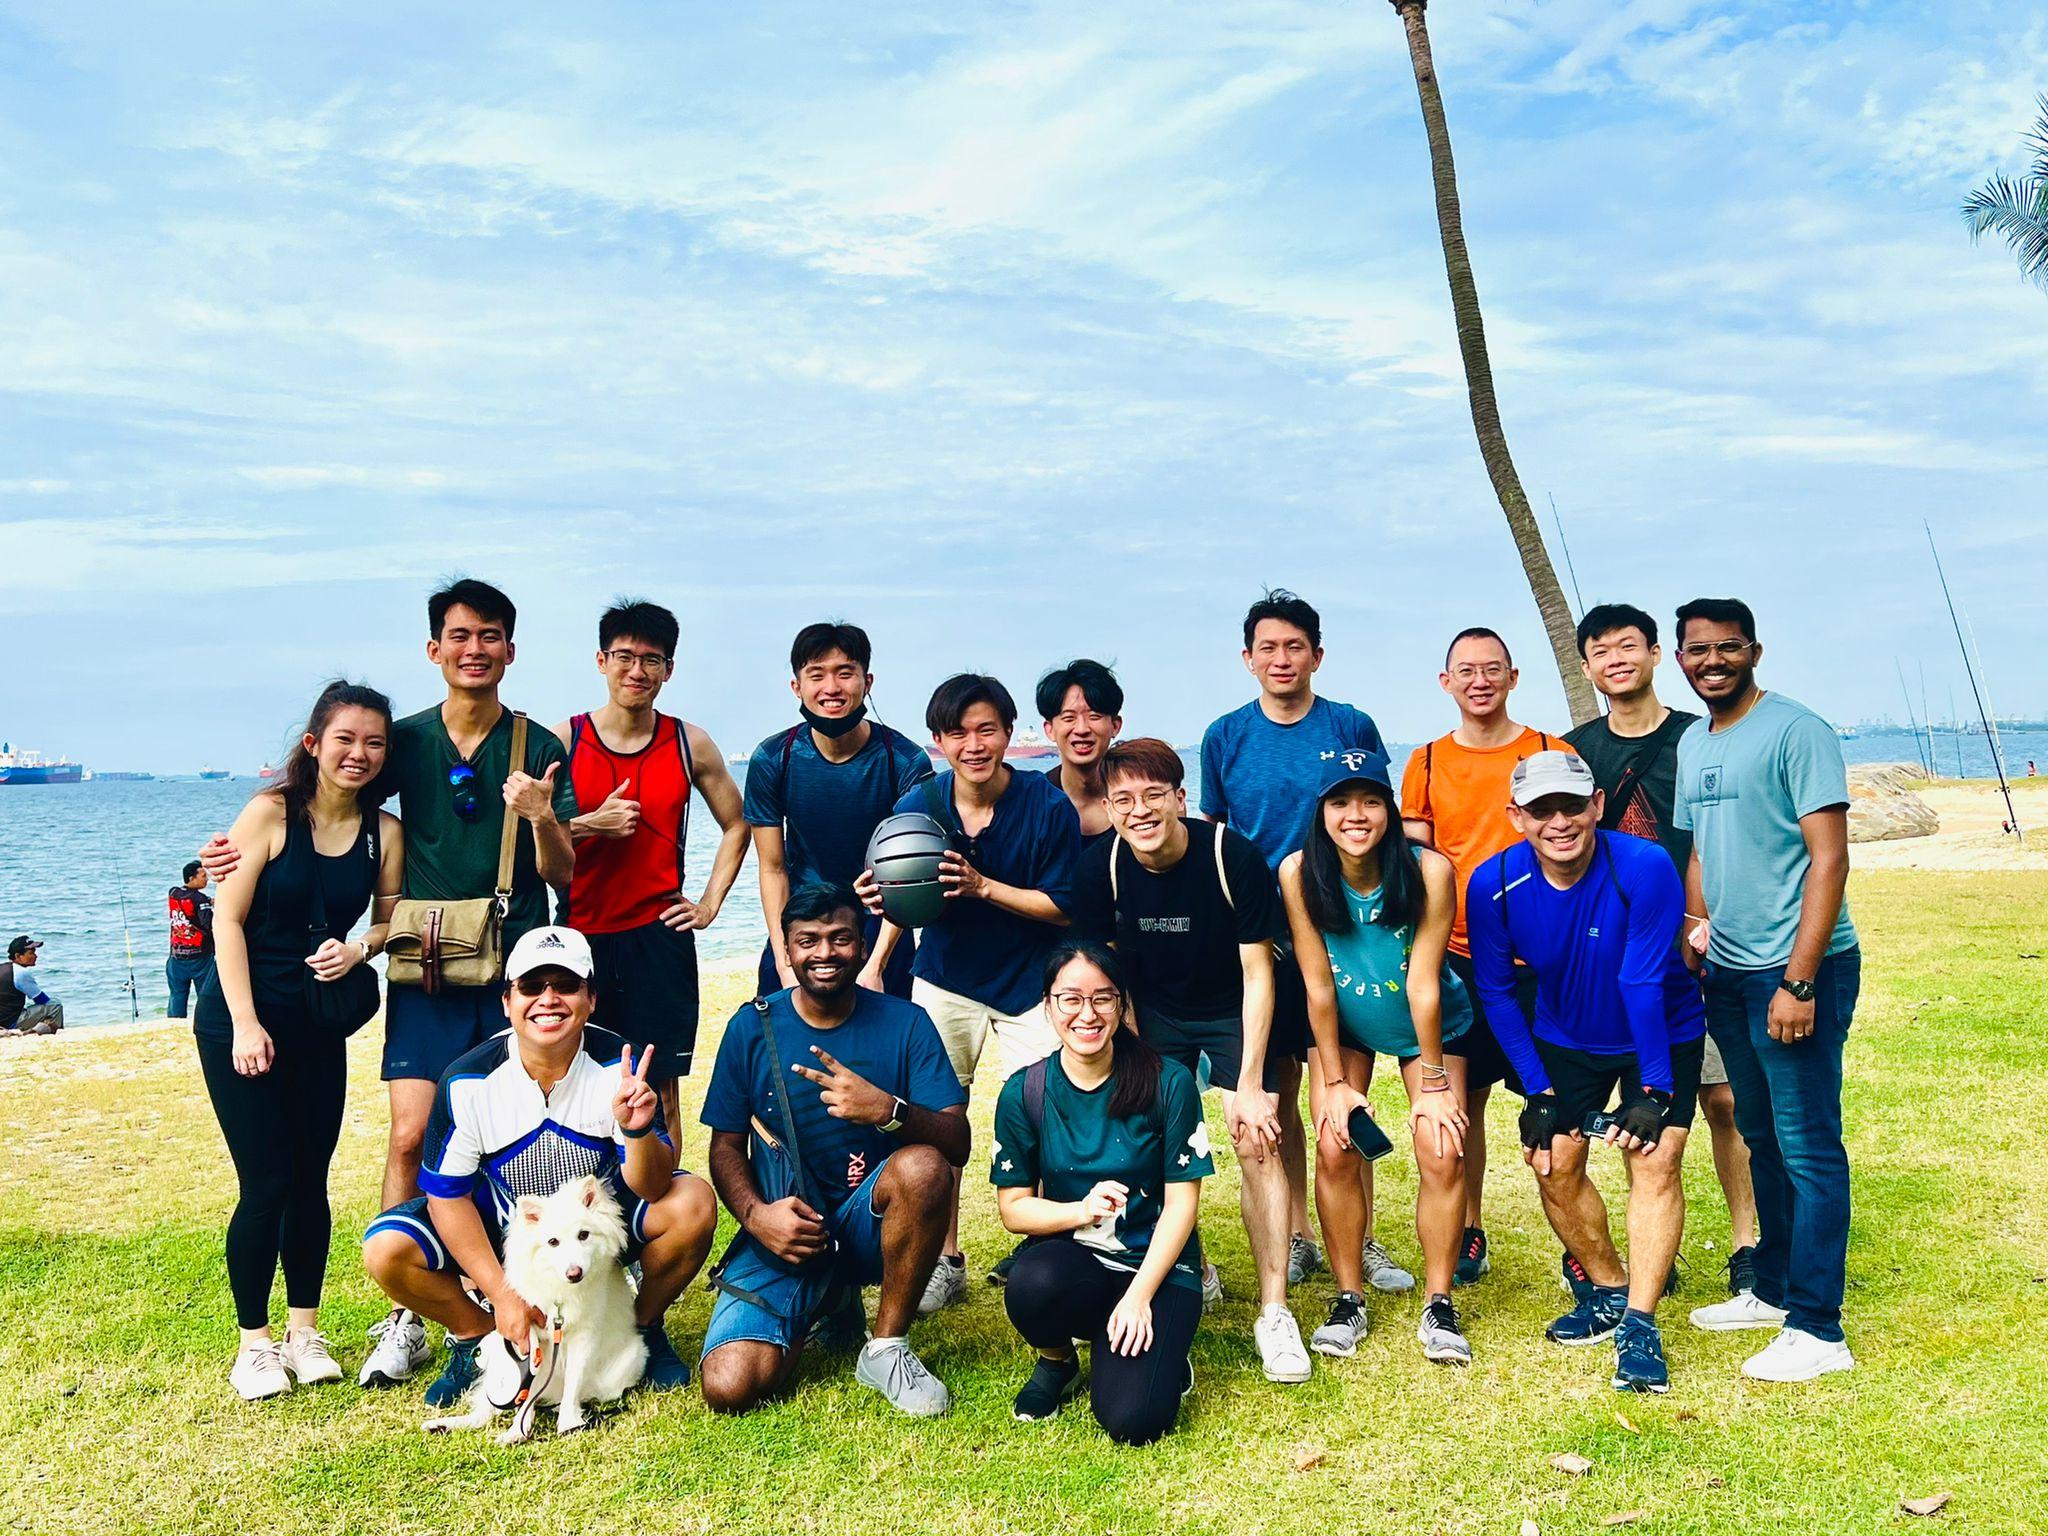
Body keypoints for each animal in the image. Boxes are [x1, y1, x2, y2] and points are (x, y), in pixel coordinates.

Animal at [428, 1179, 651, 1441]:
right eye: (553, 1242)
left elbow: (572, 1385)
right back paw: (444, 1424)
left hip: (625, 1365)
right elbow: (526, 1395)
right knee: (485, 1411)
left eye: (584, 1235)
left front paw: (568, 1425)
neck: (559, 1294)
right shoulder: (529, 1341)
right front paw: (518, 1430)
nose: (574, 1273)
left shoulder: (583, 1338)